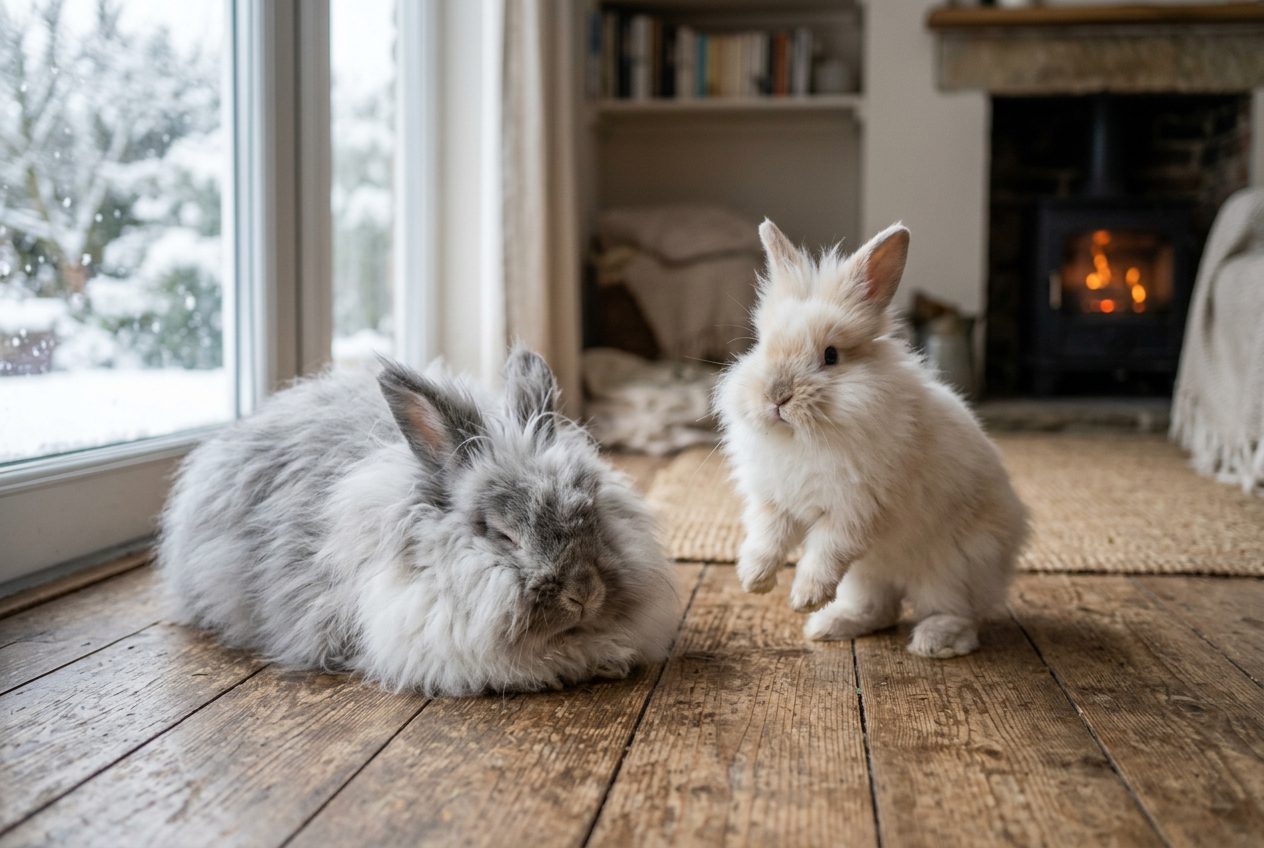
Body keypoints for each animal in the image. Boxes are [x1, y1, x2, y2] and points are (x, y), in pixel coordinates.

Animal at [714, 220, 1028, 658]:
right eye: (761, 346)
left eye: (830, 356)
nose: (776, 396)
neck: (806, 437)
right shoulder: (774, 502)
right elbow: (766, 538)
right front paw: (754, 580)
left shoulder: (854, 510)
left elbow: (825, 551)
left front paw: (803, 597)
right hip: (866, 574)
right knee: (880, 609)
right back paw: (830, 625)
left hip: (953, 566)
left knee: (957, 614)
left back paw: (933, 641)